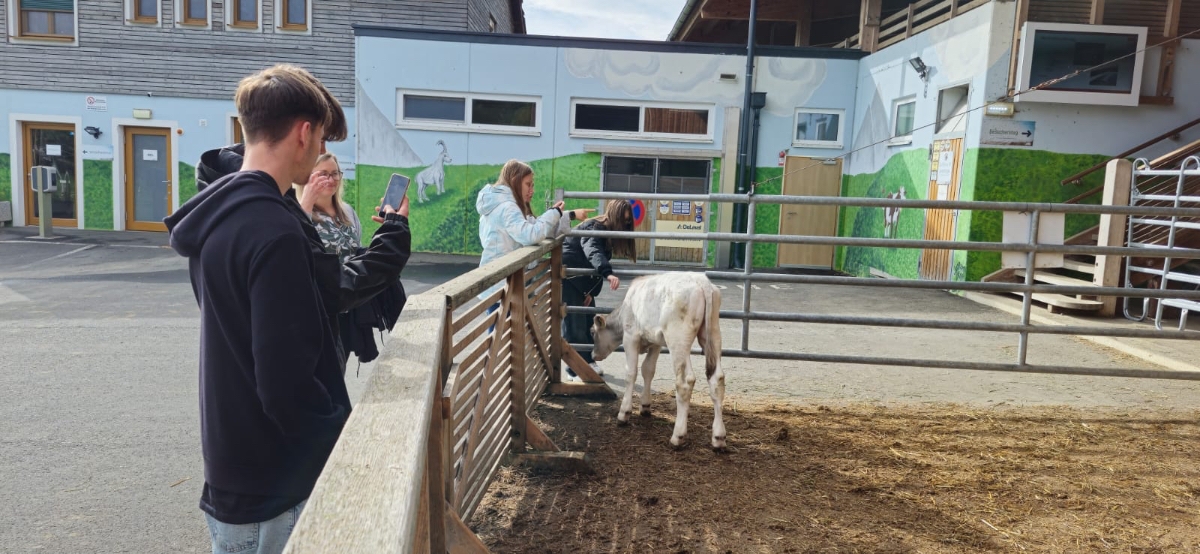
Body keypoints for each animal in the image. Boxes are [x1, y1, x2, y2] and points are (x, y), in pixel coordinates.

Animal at [590, 273, 727, 450]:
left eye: (592, 332)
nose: (593, 355)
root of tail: (702, 280)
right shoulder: (655, 342)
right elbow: (648, 369)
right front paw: (645, 406)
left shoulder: (630, 337)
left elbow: (631, 372)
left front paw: (624, 413)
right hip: (713, 334)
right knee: (717, 379)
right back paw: (718, 437)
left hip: (677, 339)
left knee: (685, 382)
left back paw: (678, 436)